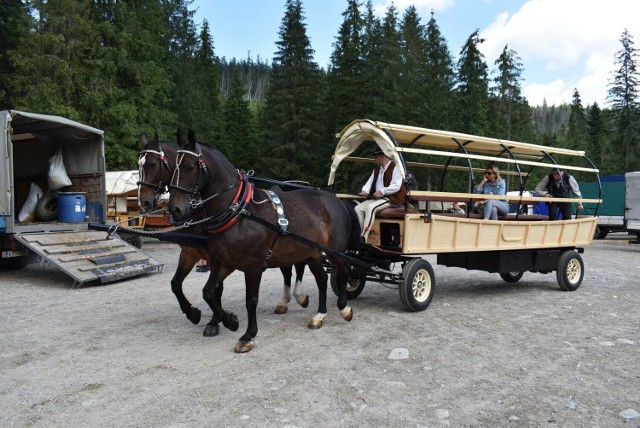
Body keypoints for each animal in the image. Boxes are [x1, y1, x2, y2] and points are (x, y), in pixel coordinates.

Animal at [138, 133, 310, 334]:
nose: (144, 202)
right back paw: (285, 302)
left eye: (152, 164)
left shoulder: (216, 256)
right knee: (288, 269)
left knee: (298, 266)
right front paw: (193, 313)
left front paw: (216, 321)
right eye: (138, 165)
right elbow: (176, 284)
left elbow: (216, 290)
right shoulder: (190, 251)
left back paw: (299, 296)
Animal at [168, 129, 358, 352]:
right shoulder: (224, 262)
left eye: (189, 167)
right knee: (321, 280)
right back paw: (319, 315)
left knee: (343, 272)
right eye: (172, 168)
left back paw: (344, 308)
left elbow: (251, 300)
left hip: (335, 251)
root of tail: (336, 200)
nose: (175, 209)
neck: (240, 212)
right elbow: (208, 292)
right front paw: (230, 321)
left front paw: (248, 335)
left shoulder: (253, 266)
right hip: (312, 253)